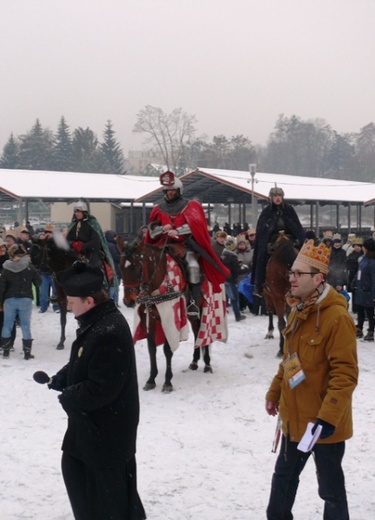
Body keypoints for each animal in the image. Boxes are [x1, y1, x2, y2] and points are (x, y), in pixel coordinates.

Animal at [120, 238, 214, 392]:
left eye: (136, 266)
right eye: (121, 267)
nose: (129, 301)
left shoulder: (170, 318)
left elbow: (167, 350)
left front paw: (167, 382)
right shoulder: (151, 319)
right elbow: (151, 348)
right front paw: (151, 379)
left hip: (203, 309)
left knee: (203, 332)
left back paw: (207, 364)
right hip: (190, 315)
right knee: (196, 331)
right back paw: (194, 362)